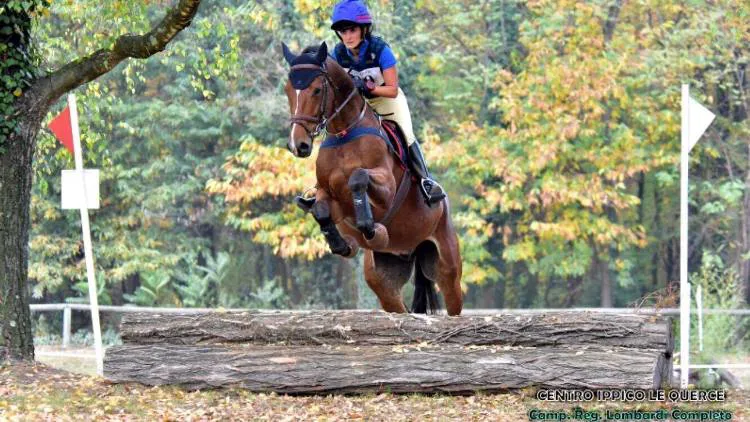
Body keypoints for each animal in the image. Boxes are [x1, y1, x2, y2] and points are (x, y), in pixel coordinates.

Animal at [282, 42, 462, 316]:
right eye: (288, 90)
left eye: (316, 90)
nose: (298, 145)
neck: (345, 132)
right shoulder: (332, 199)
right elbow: (322, 211)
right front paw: (342, 245)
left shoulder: (386, 188)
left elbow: (359, 178)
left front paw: (371, 228)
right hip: (383, 280)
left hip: (447, 267)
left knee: (453, 299)